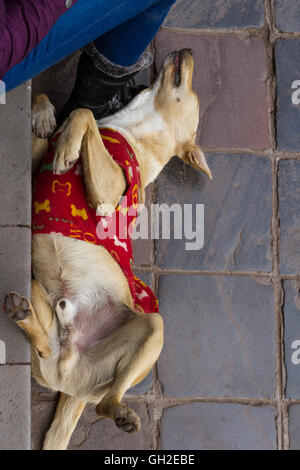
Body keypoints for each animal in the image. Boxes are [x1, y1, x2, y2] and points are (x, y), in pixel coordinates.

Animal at [3, 49, 212, 450]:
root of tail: (71, 385)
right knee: (45, 345)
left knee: (107, 402)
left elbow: (83, 115)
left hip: (152, 328)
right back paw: (21, 314)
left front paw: (68, 146)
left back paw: (121, 414)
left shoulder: (109, 191)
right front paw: (44, 117)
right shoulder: (37, 164)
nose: (188, 51)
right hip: (38, 294)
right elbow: (61, 116)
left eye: (194, 94)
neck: (133, 129)